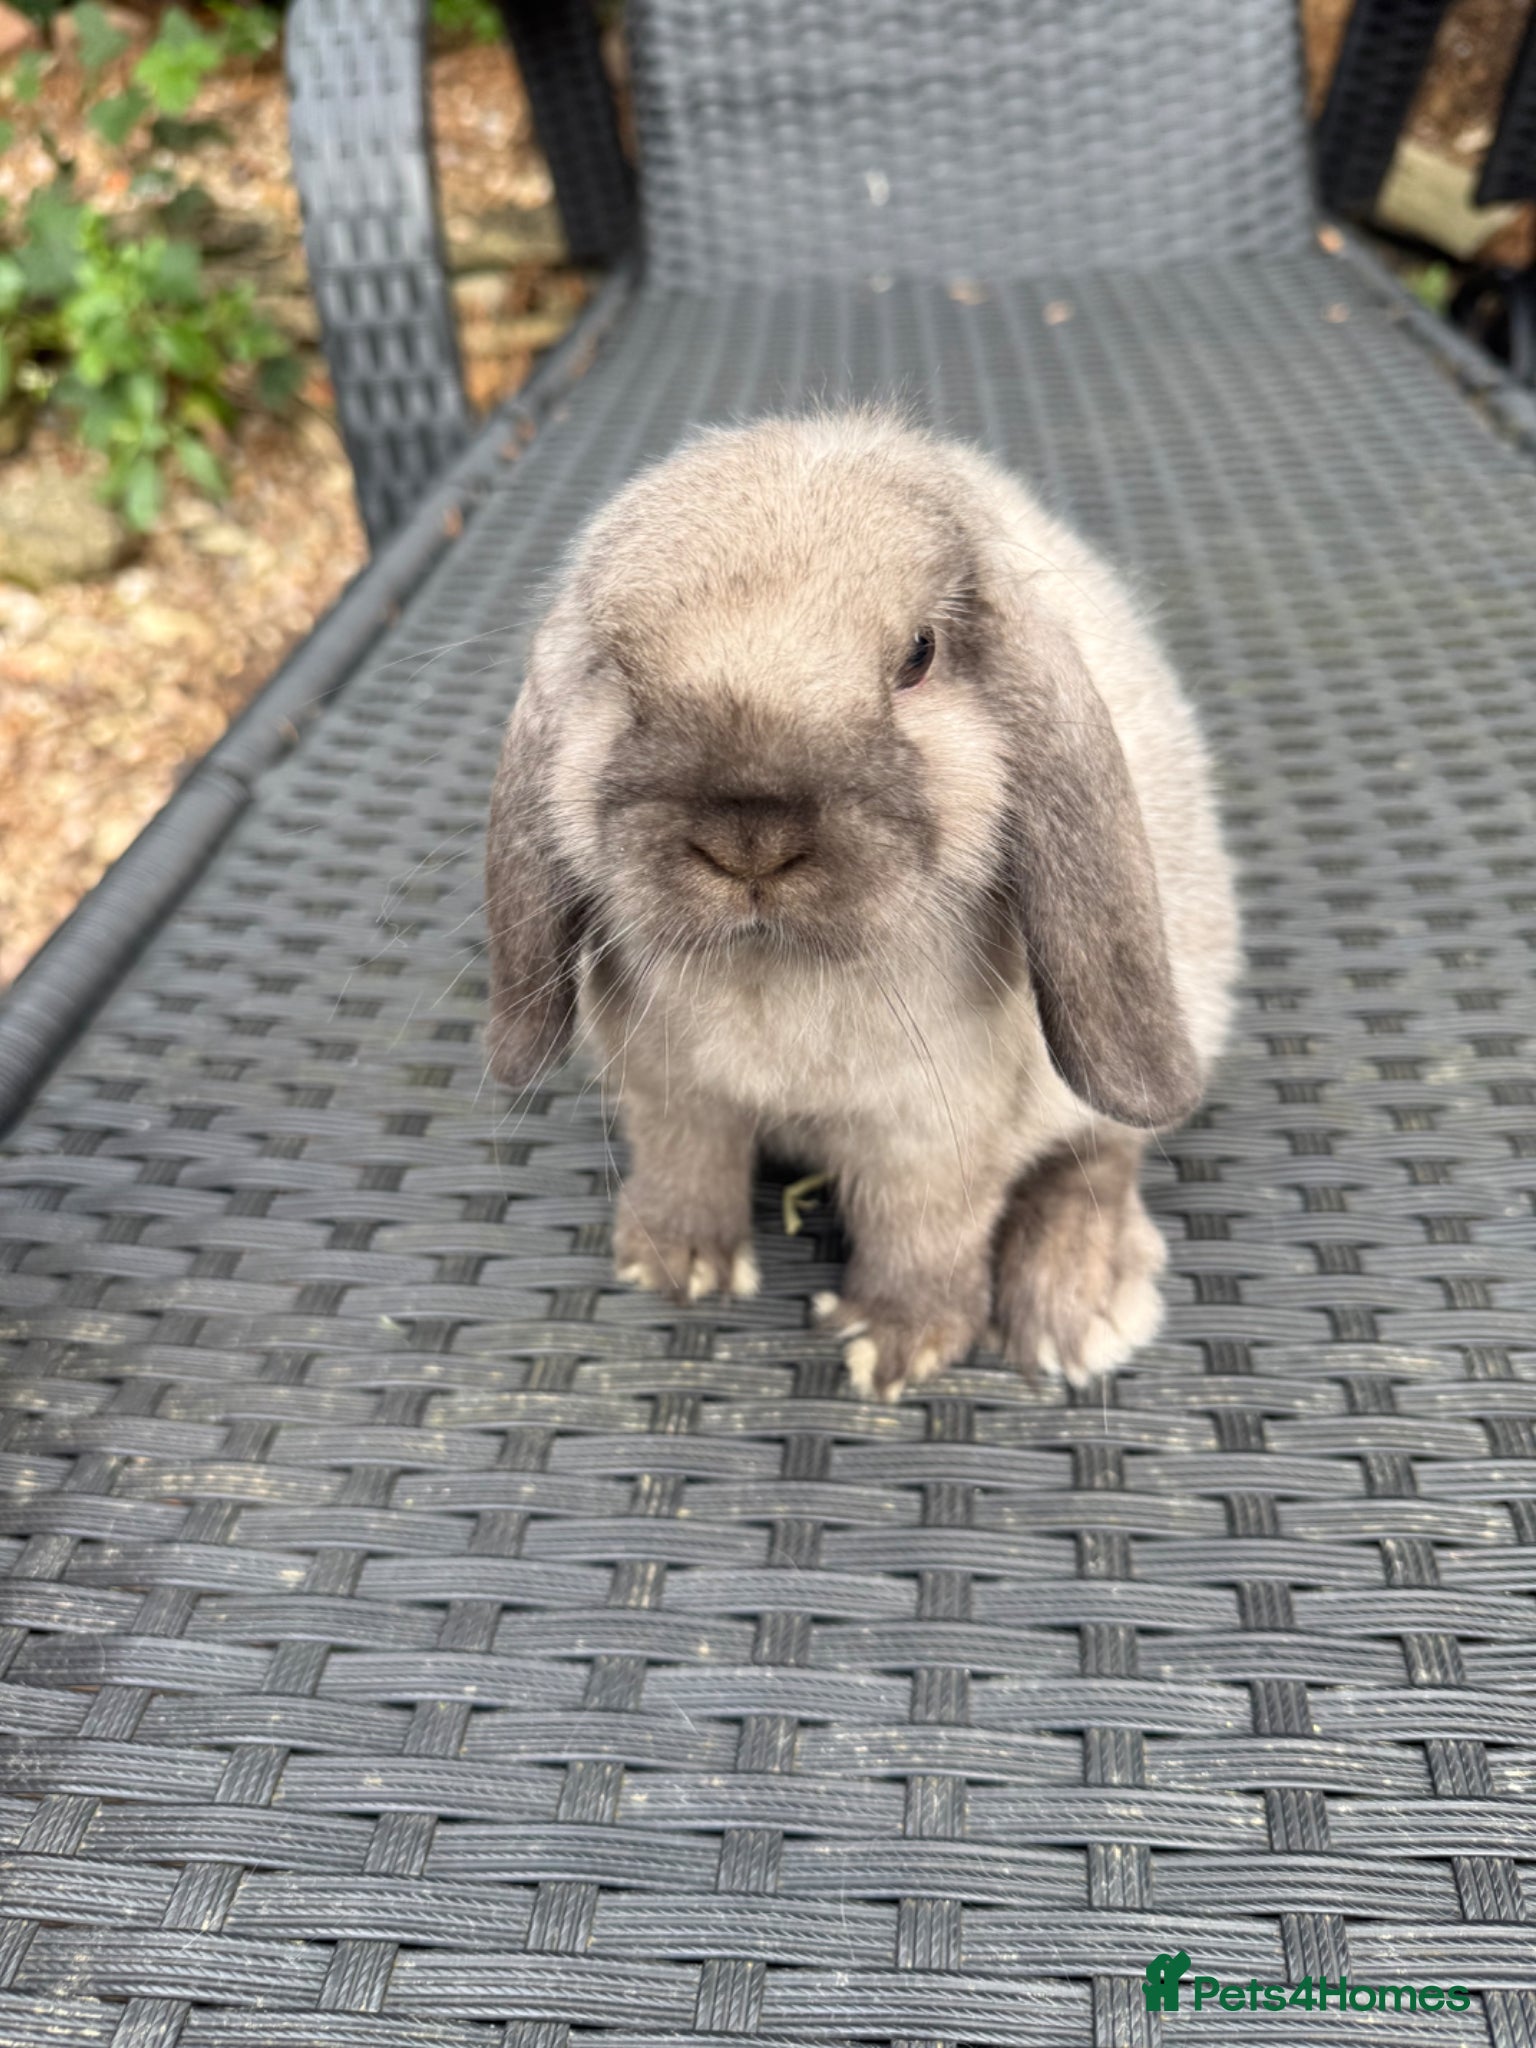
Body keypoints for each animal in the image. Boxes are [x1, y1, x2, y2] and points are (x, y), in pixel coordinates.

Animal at [485, 409, 1239, 1401]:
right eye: (616, 665)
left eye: (919, 654)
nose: (750, 837)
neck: (773, 968)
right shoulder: (670, 1092)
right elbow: (687, 1164)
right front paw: (674, 1263)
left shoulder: (932, 1131)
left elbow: (923, 1229)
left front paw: (894, 1345)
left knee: (1101, 1151)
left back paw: (1074, 1308)